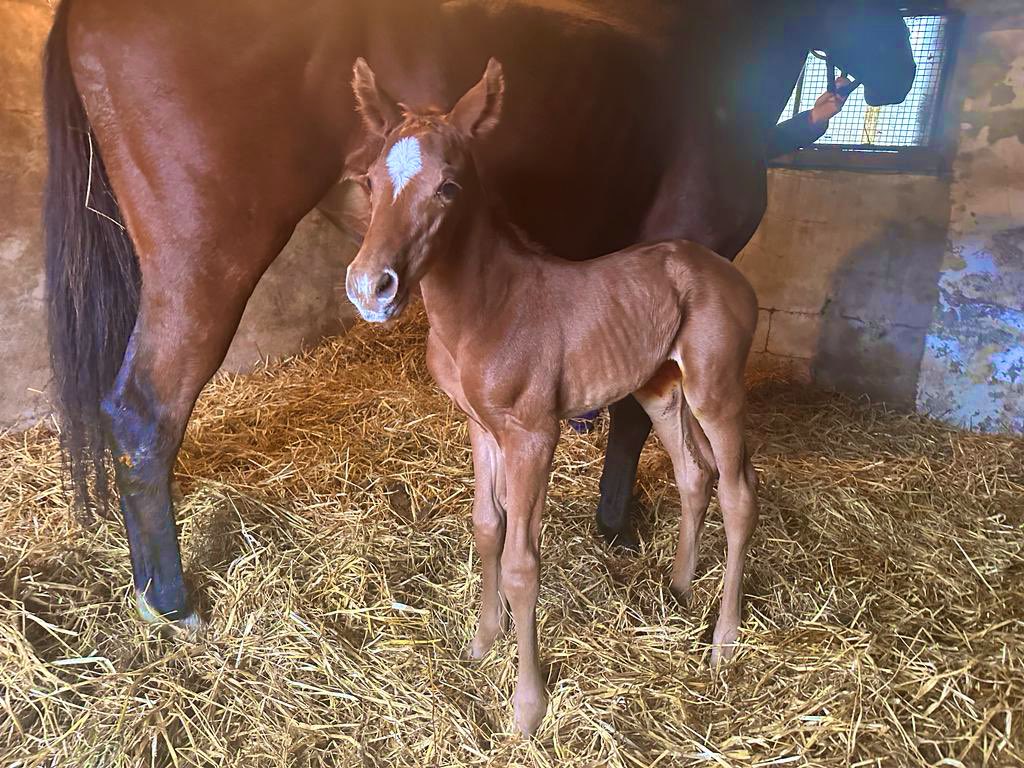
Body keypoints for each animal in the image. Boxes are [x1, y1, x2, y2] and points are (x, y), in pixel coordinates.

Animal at [43, 0, 915, 627]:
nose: (902, 79)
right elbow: (636, 414)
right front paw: (616, 522)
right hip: (207, 262)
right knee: (144, 412)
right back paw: (169, 599)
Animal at [345, 56, 760, 735]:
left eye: (448, 187)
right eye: (370, 182)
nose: (370, 289)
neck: (486, 310)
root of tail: (730, 274)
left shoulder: (534, 435)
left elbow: (522, 563)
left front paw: (526, 706)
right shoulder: (482, 427)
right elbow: (487, 529)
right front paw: (481, 642)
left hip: (716, 388)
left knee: (737, 492)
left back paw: (723, 639)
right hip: (659, 388)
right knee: (693, 474)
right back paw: (678, 587)